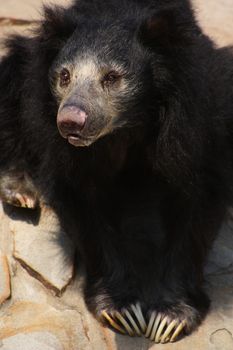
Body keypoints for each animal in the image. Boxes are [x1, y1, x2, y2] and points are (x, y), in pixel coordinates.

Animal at [0, 0, 233, 344]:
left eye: (111, 77)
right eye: (64, 76)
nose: (71, 121)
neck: (127, 128)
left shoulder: (199, 120)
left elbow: (197, 204)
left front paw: (168, 318)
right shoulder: (63, 144)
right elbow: (84, 207)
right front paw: (124, 311)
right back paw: (20, 190)